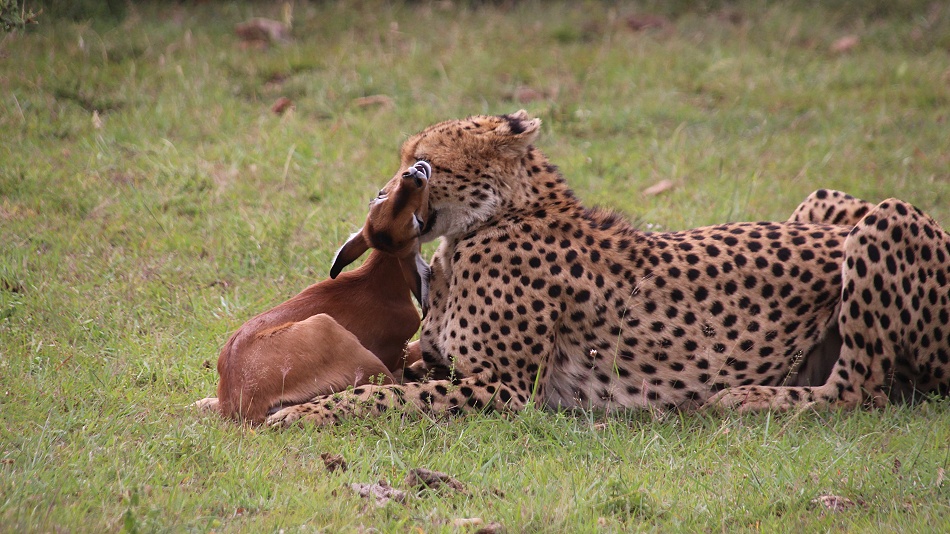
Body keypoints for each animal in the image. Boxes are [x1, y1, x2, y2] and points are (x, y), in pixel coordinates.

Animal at [194, 162, 432, 423]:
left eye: (380, 195)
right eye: (417, 222)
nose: (414, 172)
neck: (378, 281)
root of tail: (241, 405)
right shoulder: (397, 355)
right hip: (335, 333)